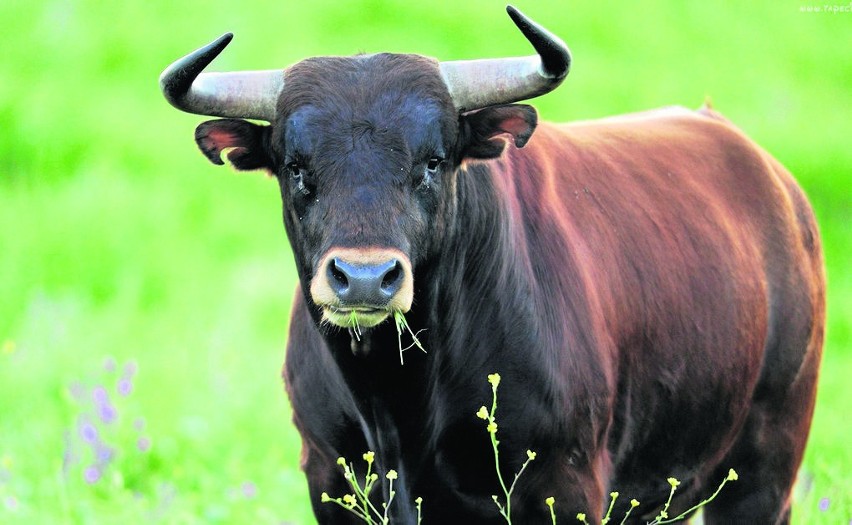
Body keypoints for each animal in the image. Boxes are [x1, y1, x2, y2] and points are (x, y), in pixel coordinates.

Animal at [160, 6, 824, 520]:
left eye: (432, 161)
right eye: (296, 167)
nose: (366, 279)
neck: (399, 405)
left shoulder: (566, 489)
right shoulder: (329, 480)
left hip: (765, 472)